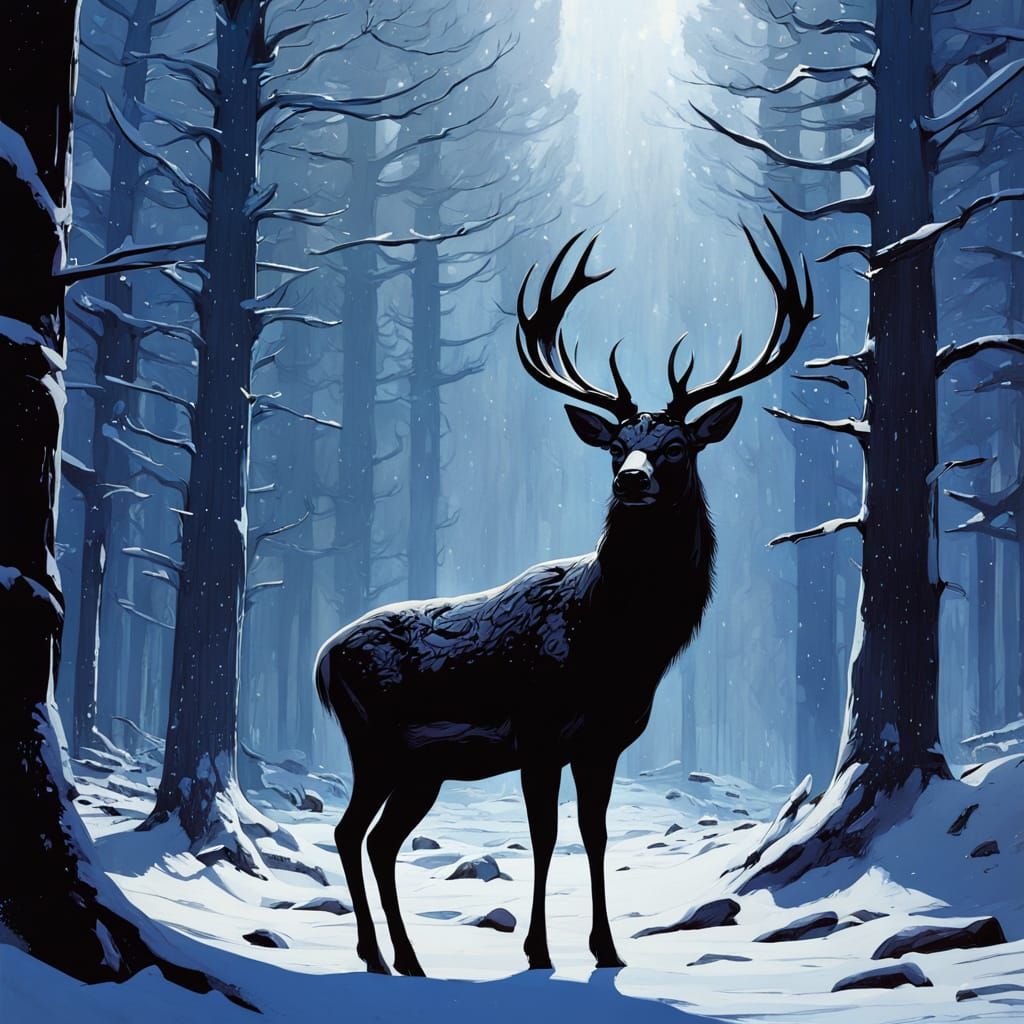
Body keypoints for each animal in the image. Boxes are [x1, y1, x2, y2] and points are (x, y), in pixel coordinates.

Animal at [315, 221, 813, 977]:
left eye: (675, 445)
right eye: (615, 446)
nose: (632, 479)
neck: (614, 645)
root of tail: (321, 660)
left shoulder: (602, 743)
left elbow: (596, 835)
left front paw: (607, 950)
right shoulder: (540, 731)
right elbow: (547, 837)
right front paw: (539, 950)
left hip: (420, 766)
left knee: (378, 839)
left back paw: (406, 957)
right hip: (373, 740)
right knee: (349, 833)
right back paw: (376, 955)